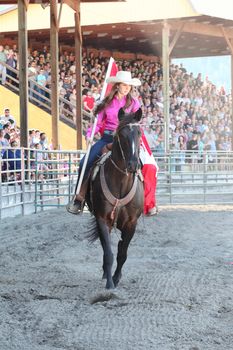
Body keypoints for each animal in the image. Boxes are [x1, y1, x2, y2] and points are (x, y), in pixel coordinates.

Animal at [86, 108, 144, 290]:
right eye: (122, 135)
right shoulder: (102, 218)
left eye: (139, 133)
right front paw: (110, 283)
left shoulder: (132, 223)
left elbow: (122, 252)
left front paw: (117, 278)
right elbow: (109, 252)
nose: (133, 165)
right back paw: (106, 273)